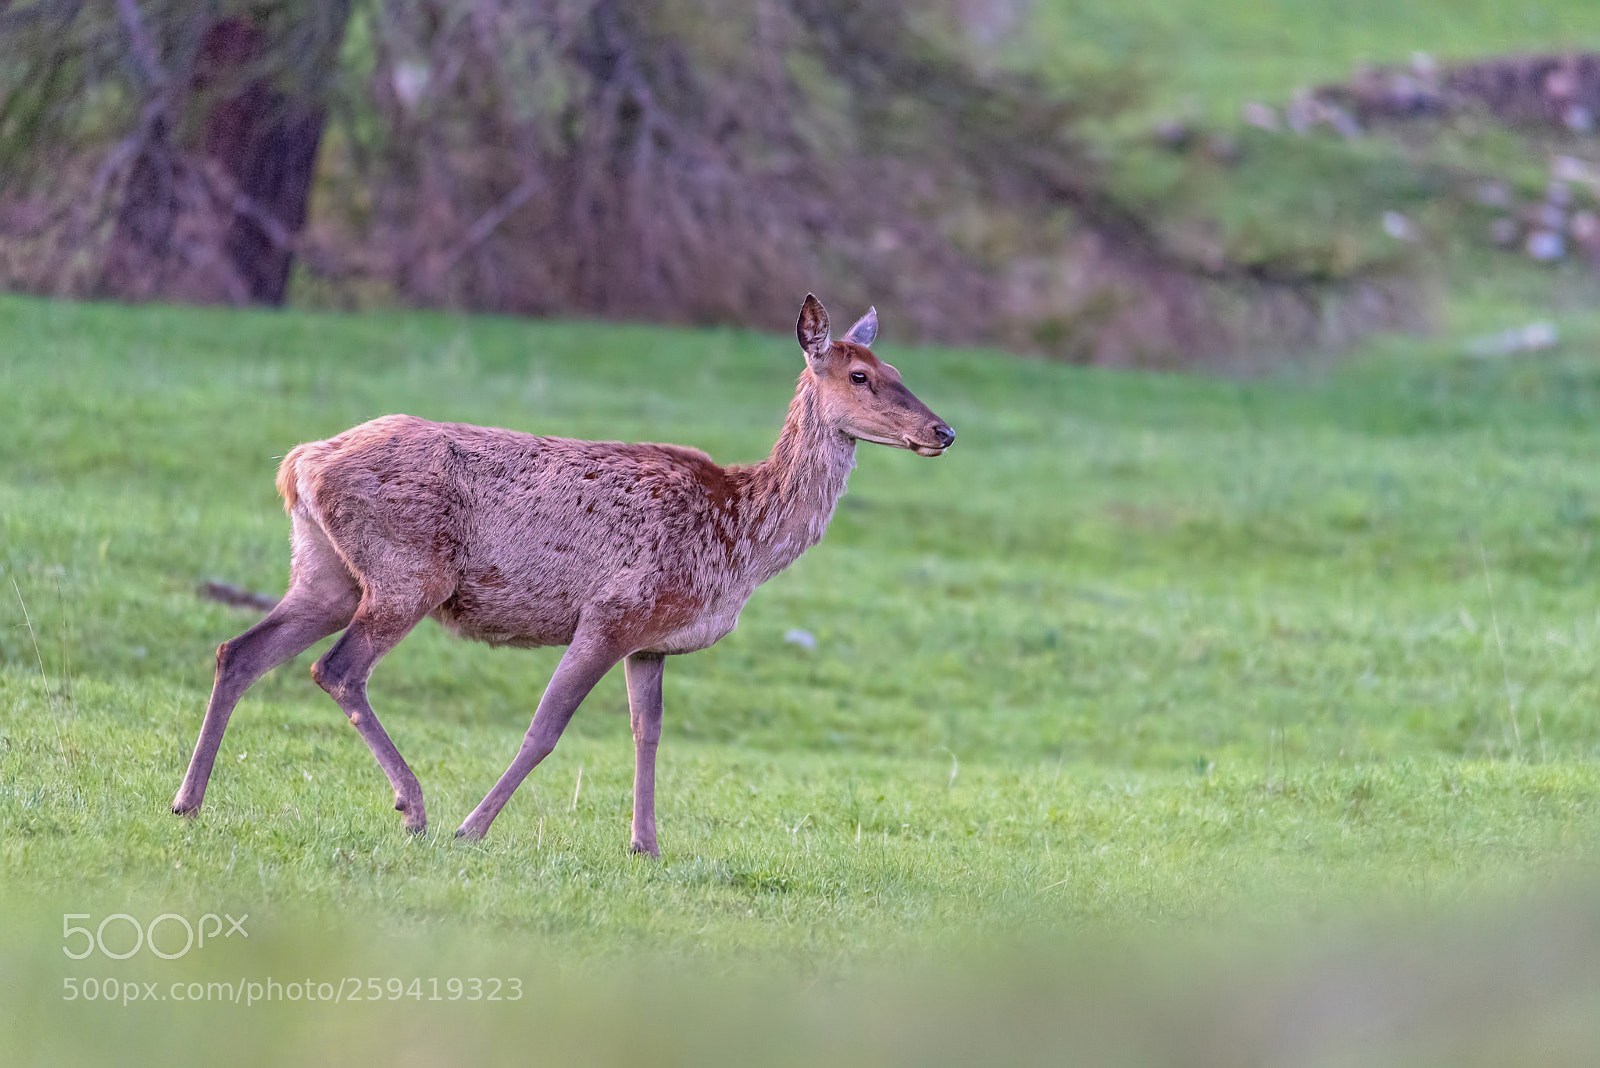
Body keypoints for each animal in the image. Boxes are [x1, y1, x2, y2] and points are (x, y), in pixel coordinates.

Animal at [170, 294, 955, 856]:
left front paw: (646, 846)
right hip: (406, 573)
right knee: (336, 669)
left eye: (900, 372)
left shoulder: (652, 639)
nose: (943, 431)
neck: (740, 540)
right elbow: (545, 729)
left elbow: (648, 733)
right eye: (860, 376)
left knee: (240, 651)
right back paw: (415, 808)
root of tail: (298, 462)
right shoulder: (612, 612)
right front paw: (472, 829)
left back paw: (188, 801)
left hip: (327, 572)